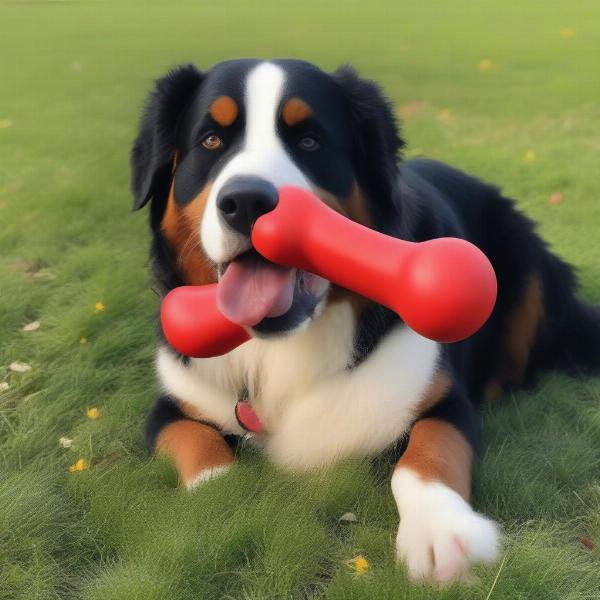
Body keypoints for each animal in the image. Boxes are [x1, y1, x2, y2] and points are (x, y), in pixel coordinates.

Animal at [131, 59, 600, 580]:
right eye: (211, 140)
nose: (247, 202)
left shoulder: (441, 399)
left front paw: (443, 533)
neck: (282, 348)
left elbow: (427, 450)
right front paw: (222, 504)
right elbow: (201, 450)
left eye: (309, 141)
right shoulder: (173, 405)